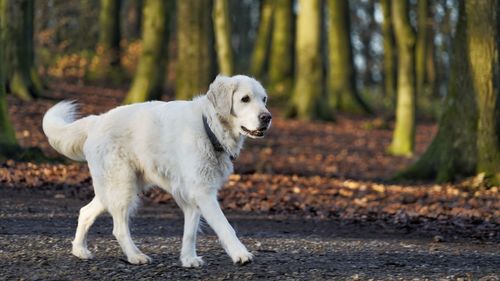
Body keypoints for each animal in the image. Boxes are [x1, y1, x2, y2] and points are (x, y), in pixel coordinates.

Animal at [41, 75, 272, 266]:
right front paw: (240, 254)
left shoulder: (192, 195)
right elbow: (225, 226)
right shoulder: (203, 192)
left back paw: (80, 250)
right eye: (245, 99)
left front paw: (188, 259)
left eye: (264, 99)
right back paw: (135, 256)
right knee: (118, 228)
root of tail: (97, 119)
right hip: (122, 188)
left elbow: (190, 231)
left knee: (85, 212)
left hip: (117, 188)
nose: (267, 117)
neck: (209, 127)